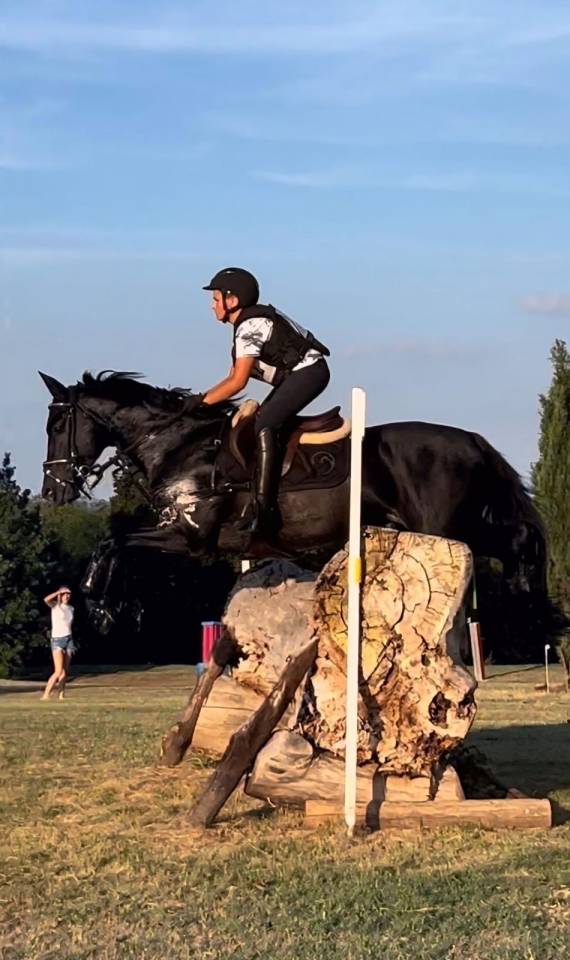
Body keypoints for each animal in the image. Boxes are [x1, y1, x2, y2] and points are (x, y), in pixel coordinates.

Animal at [39, 370, 546, 624]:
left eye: (58, 425)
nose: (52, 491)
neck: (177, 443)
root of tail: (471, 439)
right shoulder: (179, 534)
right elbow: (114, 537)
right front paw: (107, 603)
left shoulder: (191, 539)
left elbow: (117, 541)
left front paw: (99, 602)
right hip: (444, 528)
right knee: (510, 541)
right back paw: (525, 589)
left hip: (441, 528)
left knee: (517, 539)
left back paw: (527, 586)